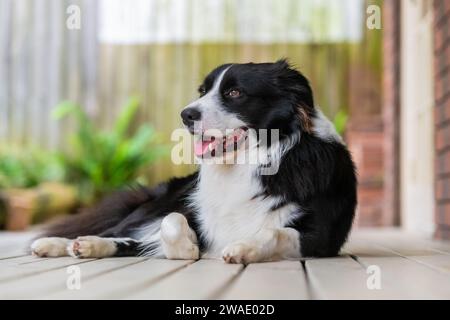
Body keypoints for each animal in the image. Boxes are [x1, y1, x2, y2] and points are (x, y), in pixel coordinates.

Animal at [29, 60, 356, 262]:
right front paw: (188, 248)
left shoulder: (322, 238)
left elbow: (275, 232)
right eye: (203, 91)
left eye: (234, 92)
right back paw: (64, 243)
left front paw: (243, 246)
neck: (248, 164)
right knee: (118, 232)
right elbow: (173, 223)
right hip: (154, 205)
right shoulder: (188, 211)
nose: (185, 115)